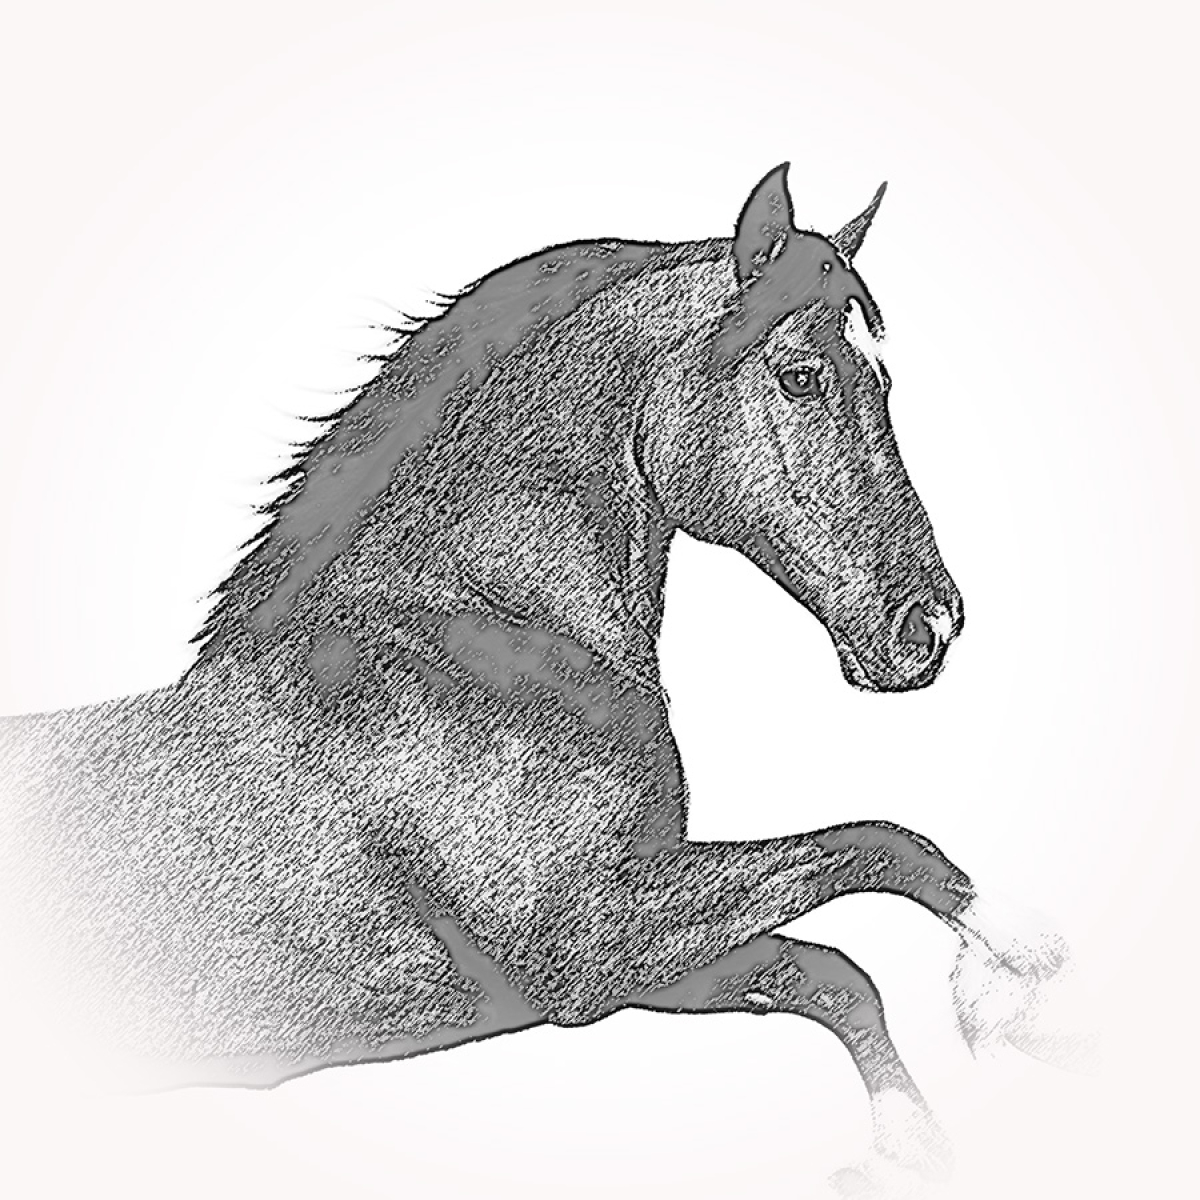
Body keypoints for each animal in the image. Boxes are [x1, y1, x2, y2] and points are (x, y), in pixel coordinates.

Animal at [0, 164, 1066, 1193]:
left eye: (882, 377)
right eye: (801, 375)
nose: (930, 626)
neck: (478, 644)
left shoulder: (633, 961)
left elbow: (830, 970)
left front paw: (912, 1145)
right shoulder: (589, 948)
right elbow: (878, 848)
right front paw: (1020, 968)